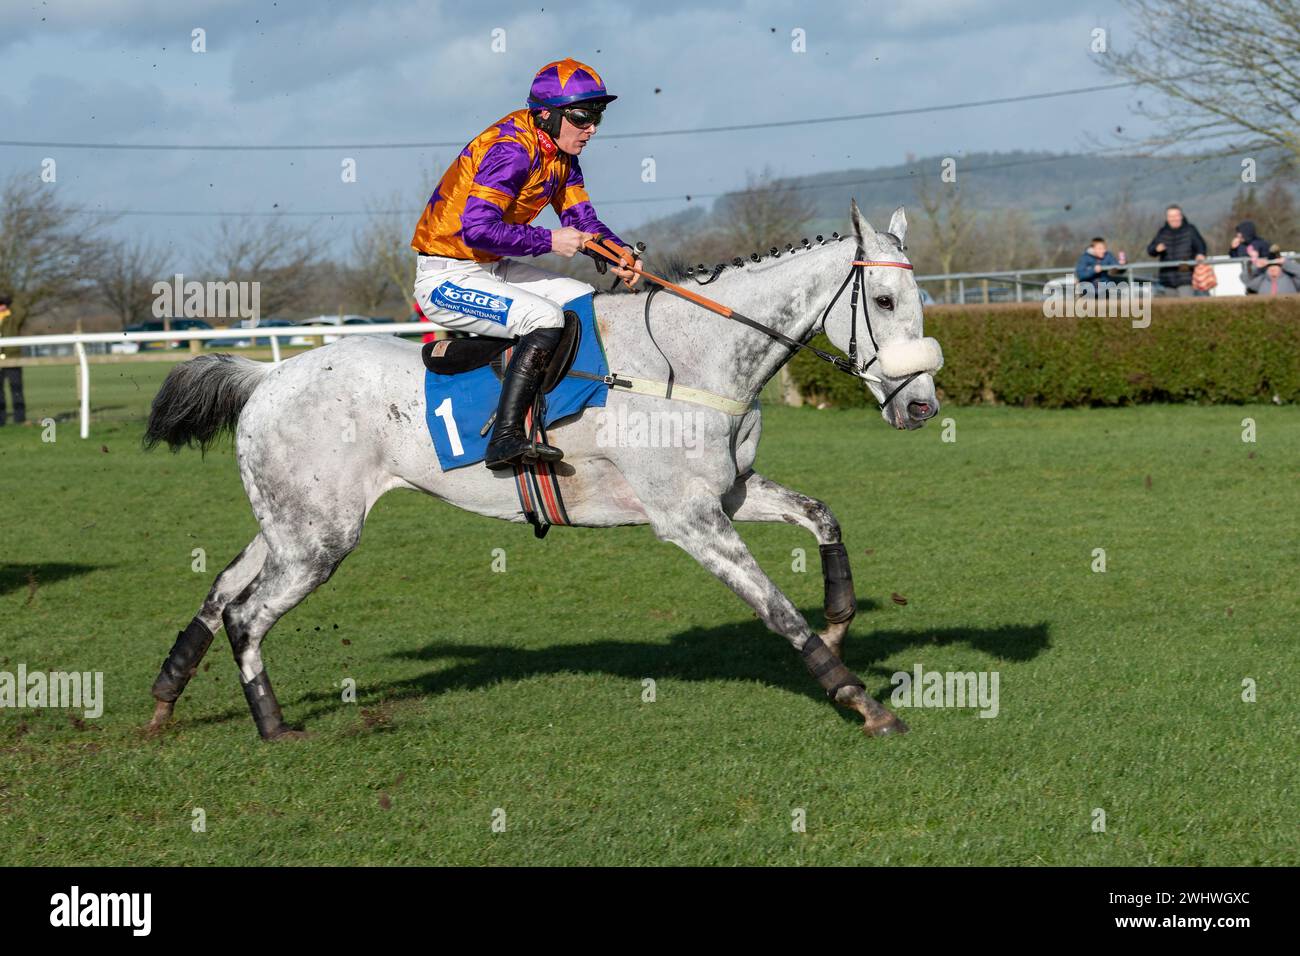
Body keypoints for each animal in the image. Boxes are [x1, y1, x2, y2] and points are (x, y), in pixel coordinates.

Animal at [144, 201, 946, 738]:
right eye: (883, 300)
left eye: (920, 300)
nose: (923, 407)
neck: (690, 358)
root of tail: (267, 375)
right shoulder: (688, 518)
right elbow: (776, 608)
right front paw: (858, 698)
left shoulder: (730, 493)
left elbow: (821, 516)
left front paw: (839, 622)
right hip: (319, 540)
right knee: (246, 615)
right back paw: (272, 724)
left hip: (293, 525)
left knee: (221, 591)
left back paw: (165, 697)